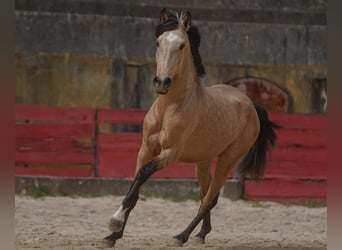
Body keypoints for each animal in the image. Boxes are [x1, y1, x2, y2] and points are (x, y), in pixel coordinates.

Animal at [103, 8, 278, 248]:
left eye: (182, 45)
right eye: (158, 42)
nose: (162, 82)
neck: (169, 107)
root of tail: (251, 104)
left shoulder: (171, 153)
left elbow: (143, 175)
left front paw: (114, 222)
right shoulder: (145, 149)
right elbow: (136, 185)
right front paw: (113, 236)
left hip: (228, 159)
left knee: (209, 199)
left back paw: (181, 236)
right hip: (203, 162)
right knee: (208, 196)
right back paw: (201, 234)